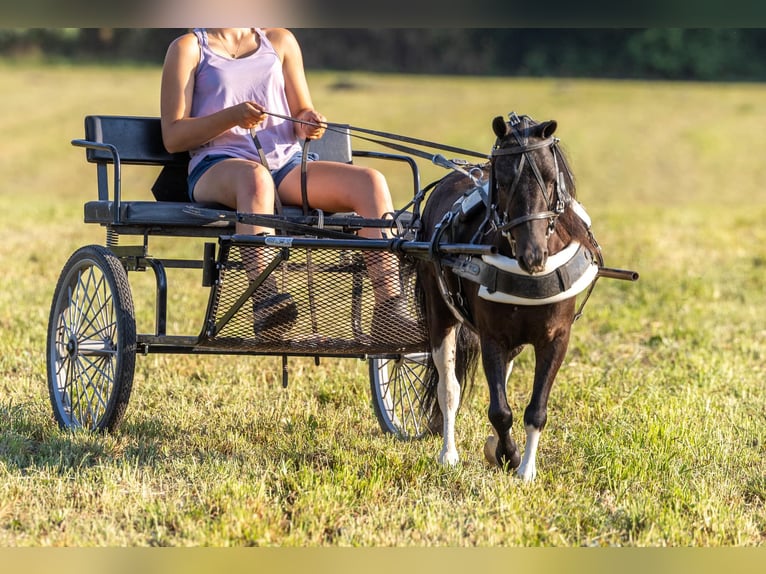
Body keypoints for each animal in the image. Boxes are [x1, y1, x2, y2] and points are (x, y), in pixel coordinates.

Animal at [416, 112, 604, 482]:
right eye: (502, 183)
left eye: (550, 179)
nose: (533, 256)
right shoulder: (492, 337)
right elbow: (499, 410)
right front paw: (509, 454)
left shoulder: (556, 338)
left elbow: (535, 410)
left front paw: (525, 468)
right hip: (439, 312)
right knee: (448, 389)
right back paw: (448, 453)